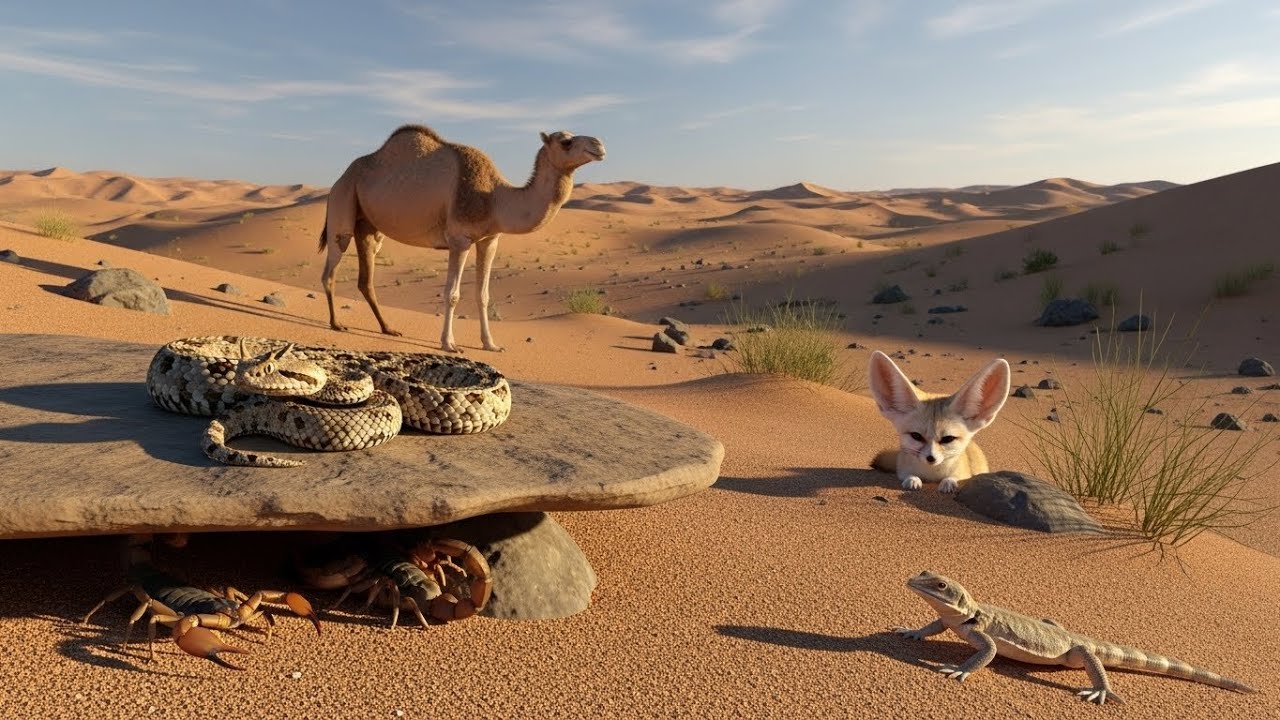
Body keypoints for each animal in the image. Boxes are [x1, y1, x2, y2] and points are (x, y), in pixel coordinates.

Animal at [318, 124, 605, 352]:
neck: (495, 199)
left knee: (366, 277)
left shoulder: (490, 240)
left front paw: (491, 344)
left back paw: (388, 328)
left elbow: (483, 294)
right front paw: (449, 344)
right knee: (332, 263)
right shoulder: (459, 239)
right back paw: (336, 323)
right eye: (566, 142)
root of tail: (341, 177)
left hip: (369, 226)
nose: (599, 145)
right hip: (343, 199)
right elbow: (452, 294)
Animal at [867, 350, 1011, 493]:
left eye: (948, 439)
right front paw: (913, 480)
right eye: (916, 436)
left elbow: (954, 477)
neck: (932, 476)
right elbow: (909, 475)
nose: (931, 458)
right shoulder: (903, 470)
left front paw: (948, 482)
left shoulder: (964, 474)